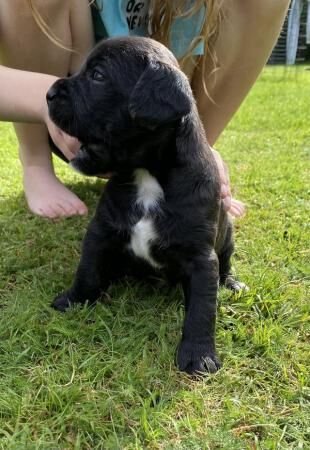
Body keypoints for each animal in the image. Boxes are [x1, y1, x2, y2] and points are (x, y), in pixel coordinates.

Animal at [46, 37, 245, 374]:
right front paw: (74, 300)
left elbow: (202, 309)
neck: (147, 177)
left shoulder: (201, 259)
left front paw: (199, 354)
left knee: (226, 263)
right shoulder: (100, 233)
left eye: (98, 76)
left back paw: (231, 283)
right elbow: (87, 269)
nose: (48, 93)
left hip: (227, 236)